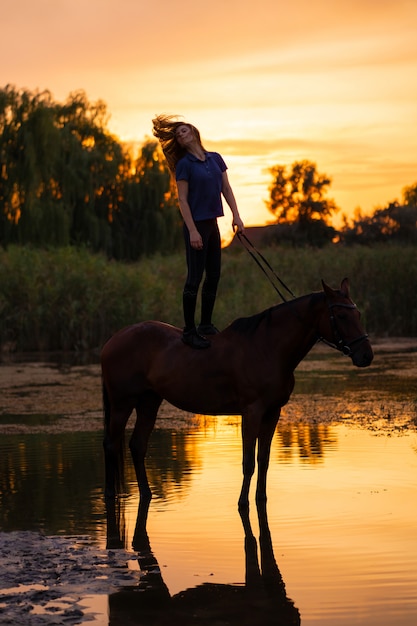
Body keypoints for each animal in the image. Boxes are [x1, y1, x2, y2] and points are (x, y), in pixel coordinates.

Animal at [102, 278, 372, 508]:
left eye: (358, 314)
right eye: (341, 315)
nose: (366, 356)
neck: (267, 348)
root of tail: (112, 340)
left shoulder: (272, 412)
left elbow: (263, 459)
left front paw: (261, 498)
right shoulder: (252, 412)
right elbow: (248, 462)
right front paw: (243, 502)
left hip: (149, 402)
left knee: (137, 445)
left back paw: (147, 494)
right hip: (122, 404)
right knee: (111, 445)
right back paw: (110, 495)